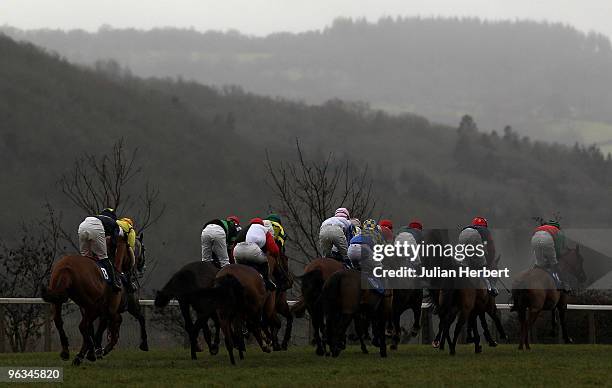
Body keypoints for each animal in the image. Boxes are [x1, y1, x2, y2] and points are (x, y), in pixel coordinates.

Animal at [40, 233, 129, 366]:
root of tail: (66, 268)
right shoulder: (106, 309)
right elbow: (107, 325)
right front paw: (97, 351)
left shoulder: (86, 309)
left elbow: (90, 329)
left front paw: (88, 352)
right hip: (93, 306)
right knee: (82, 326)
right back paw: (89, 353)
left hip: (57, 299)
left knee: (59, 321)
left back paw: (66, 352)